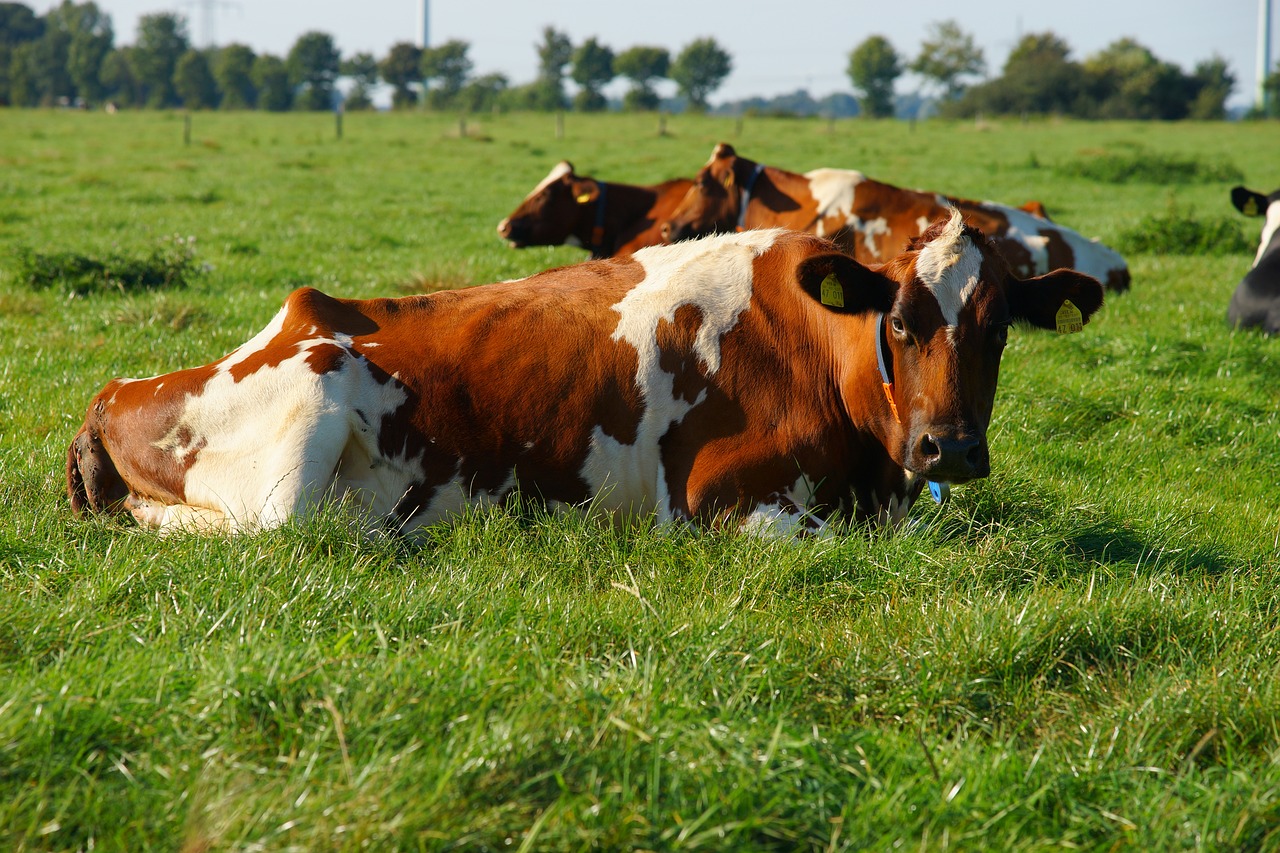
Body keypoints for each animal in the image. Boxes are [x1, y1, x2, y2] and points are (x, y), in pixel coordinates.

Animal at [67, 208, 1100, 535]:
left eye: (999, 330)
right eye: (900, 321)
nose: (949, 449)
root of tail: (114, 391)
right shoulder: (719, 500)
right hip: (303, 423)